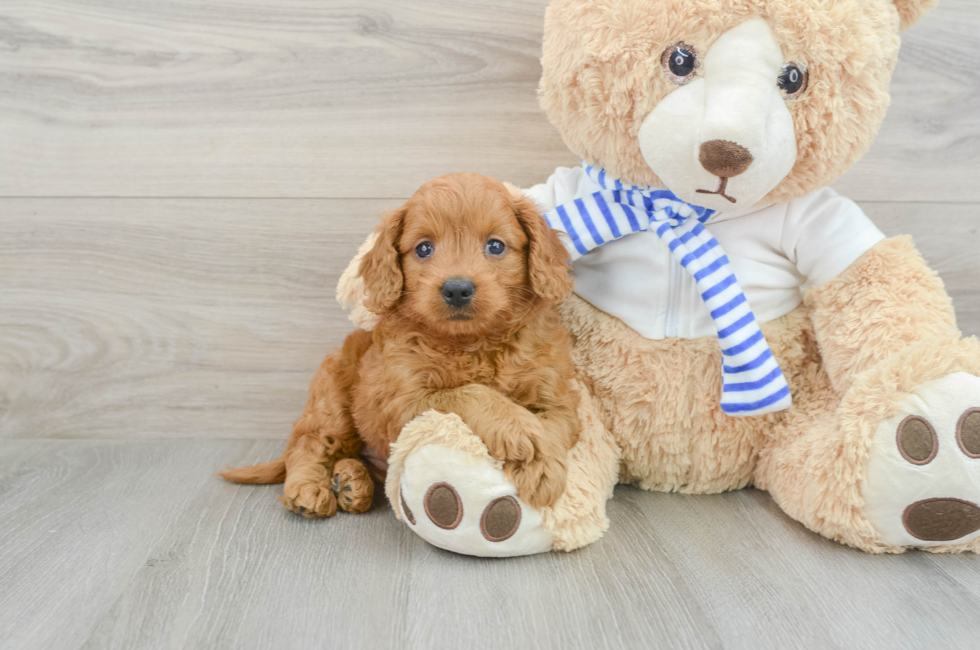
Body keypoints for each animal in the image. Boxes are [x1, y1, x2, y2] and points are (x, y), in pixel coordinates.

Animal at [218, 171, 580, 516]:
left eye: (495, 246)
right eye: (423, 248)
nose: (457, 289)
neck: (473, 342)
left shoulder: (556, 396)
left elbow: (556, 428)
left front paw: (542, 467)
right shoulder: (403, 403)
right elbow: (468, 393)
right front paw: (520, 432)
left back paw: (350, 483)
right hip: (332, 400)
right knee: (308, 443)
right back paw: (309, 488)